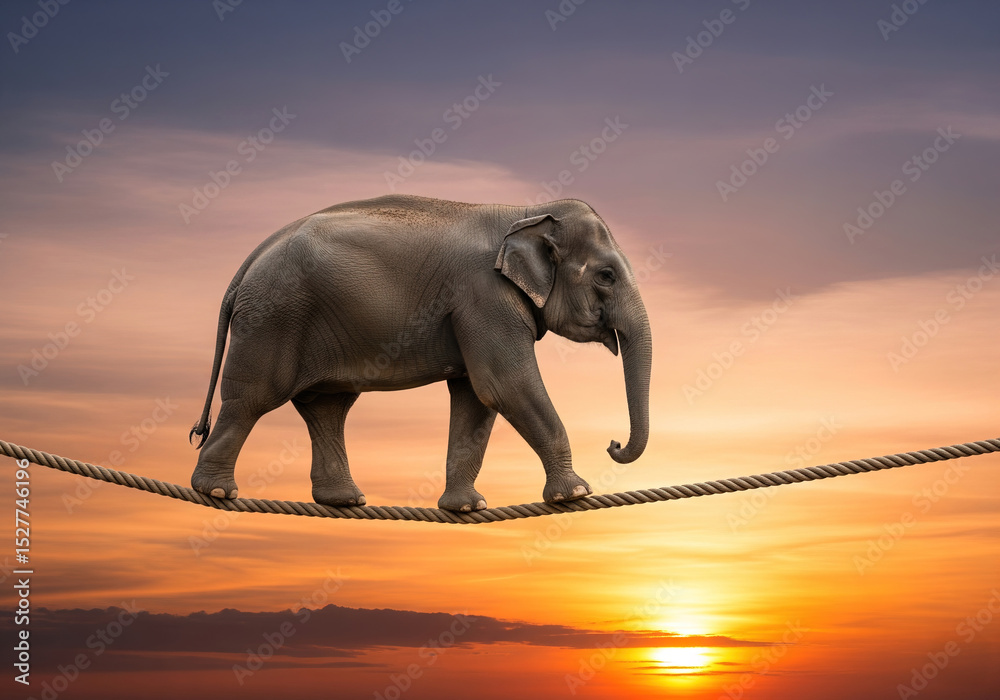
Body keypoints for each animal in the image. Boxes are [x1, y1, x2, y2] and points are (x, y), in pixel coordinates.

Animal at [189, 194, 652, 512]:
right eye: (606, 275)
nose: (613, 443)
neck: (527, 211)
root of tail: (248, 264)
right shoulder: (484, 296)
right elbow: (504, 384)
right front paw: (575, 492)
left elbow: (476, 398)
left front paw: (466, 506)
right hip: (272, 318)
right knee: (253, 399)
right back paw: (216, 490)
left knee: (327, 407)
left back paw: (344, 500)